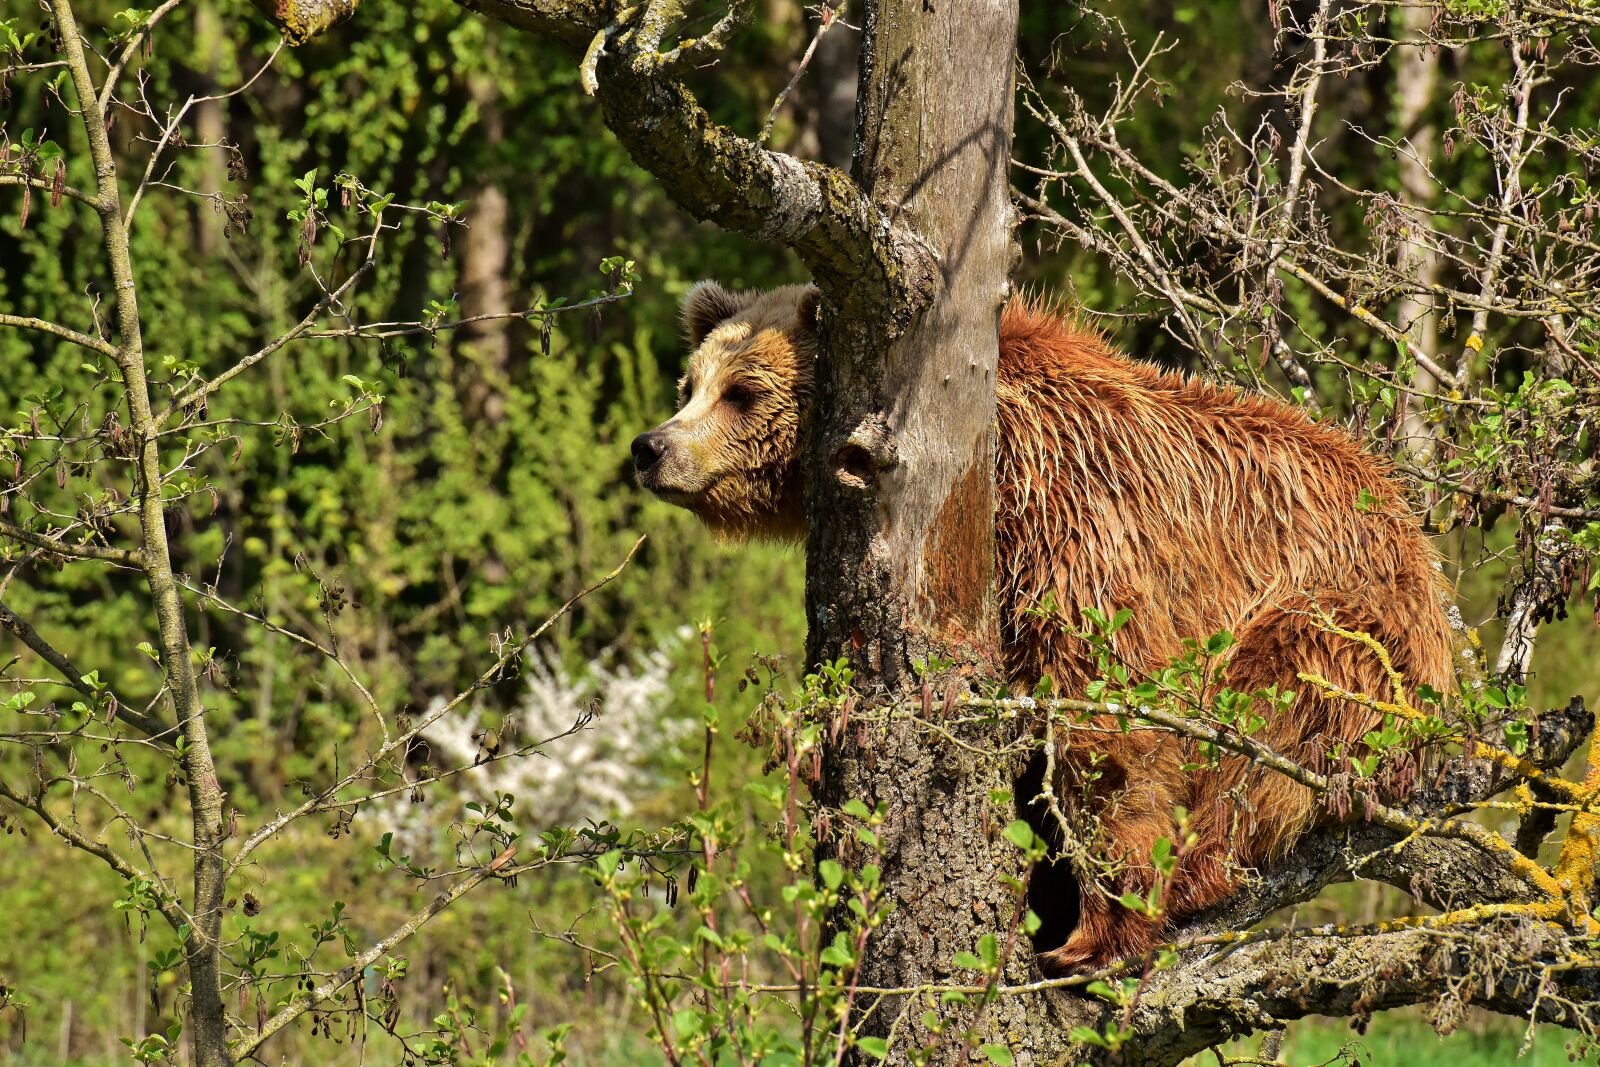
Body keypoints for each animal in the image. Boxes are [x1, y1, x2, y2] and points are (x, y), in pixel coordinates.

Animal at [632, 280, 1457, 973]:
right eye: (689, 384)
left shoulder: (1077, 512)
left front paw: (1097, 926)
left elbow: (1108, 714)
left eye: (742, 392)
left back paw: (1196, 869)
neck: (986, 472)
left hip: (1346, 620)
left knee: (1269, 711)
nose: (651, 447)